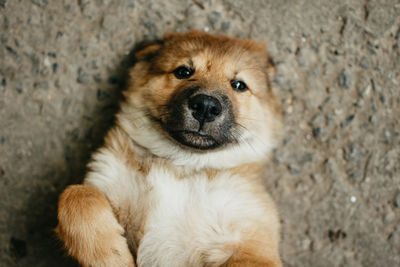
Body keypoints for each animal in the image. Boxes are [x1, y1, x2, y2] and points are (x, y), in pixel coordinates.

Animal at [56, 31, 282, 267]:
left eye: (239, 85)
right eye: (183, 71)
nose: (206, 106)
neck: (180, 164)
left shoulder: (252, 238)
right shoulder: (105, 179)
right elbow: (75, 195)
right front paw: (112, 256)